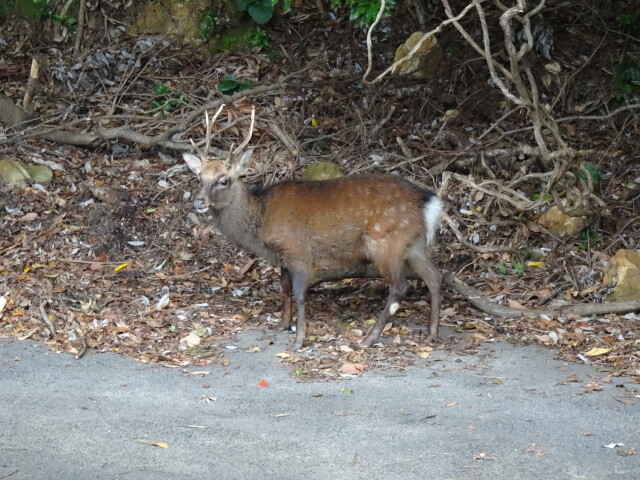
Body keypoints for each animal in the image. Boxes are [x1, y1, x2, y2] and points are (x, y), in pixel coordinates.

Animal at [183, 105, 443, 350]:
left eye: (224, 180)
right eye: (199, 178)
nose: (199, 201)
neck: (261, 220)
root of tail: (430, 202)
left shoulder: (298, 249)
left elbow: (299, 292)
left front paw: (299, 338)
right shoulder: (283, 255)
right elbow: (284, 286)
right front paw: (282, 324)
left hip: (386, 241)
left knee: (400, 287)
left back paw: (370, 338)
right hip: (413, 244)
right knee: (434, 277)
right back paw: (431, 334)